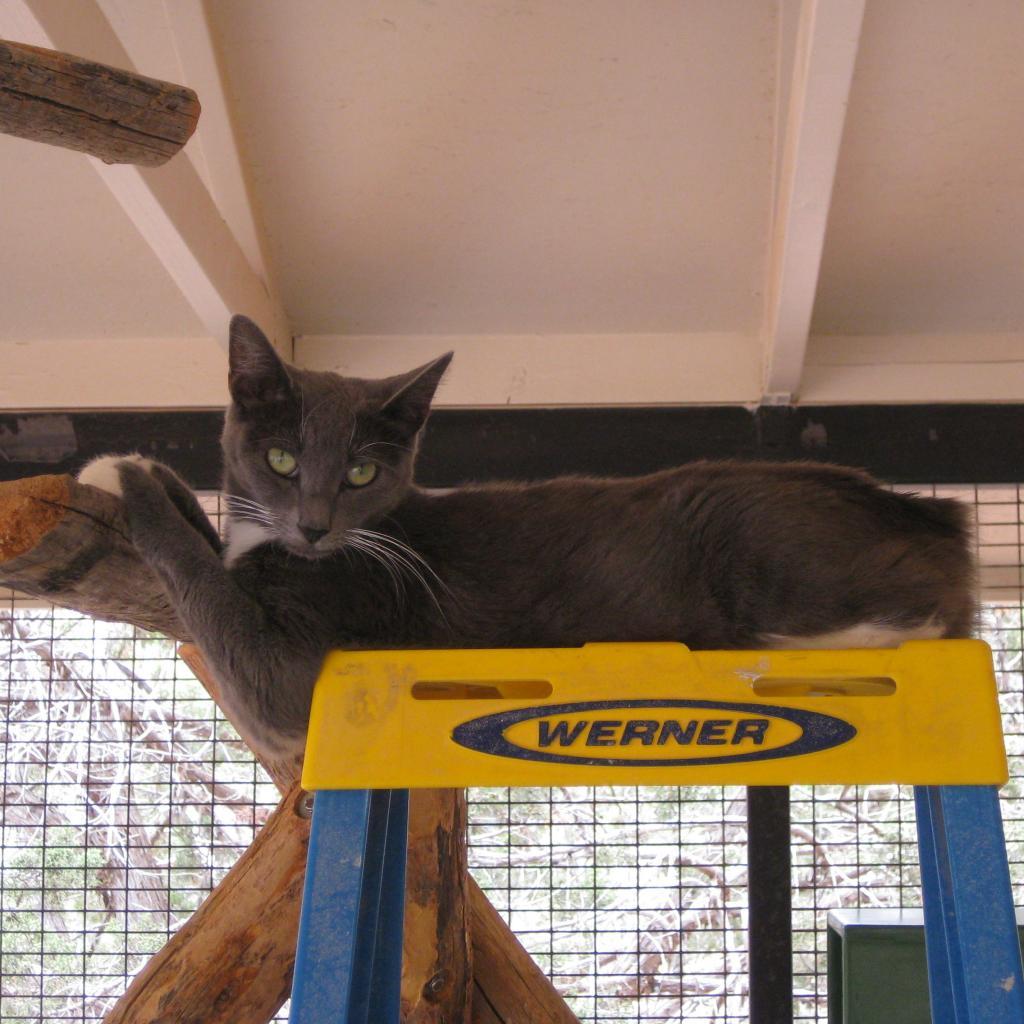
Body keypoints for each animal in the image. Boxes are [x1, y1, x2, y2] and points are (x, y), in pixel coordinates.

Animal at [79, 315, 974, 757]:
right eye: (281, 458)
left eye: (362, 474)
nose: (314, 526)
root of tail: (927, 509)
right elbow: (208, 543)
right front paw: (150, 472)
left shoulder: (321, 647)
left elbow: (233, 630)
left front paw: (115, 474)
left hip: (759, 537)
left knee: (922, 611)